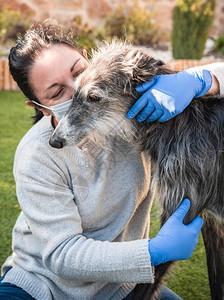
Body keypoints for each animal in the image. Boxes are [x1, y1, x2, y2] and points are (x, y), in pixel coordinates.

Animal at [49, 42, 224, 300]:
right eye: (74, 93)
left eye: (94, 97)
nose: (54, 141)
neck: (179, 121)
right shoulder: (210, 221)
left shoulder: (184, 209)